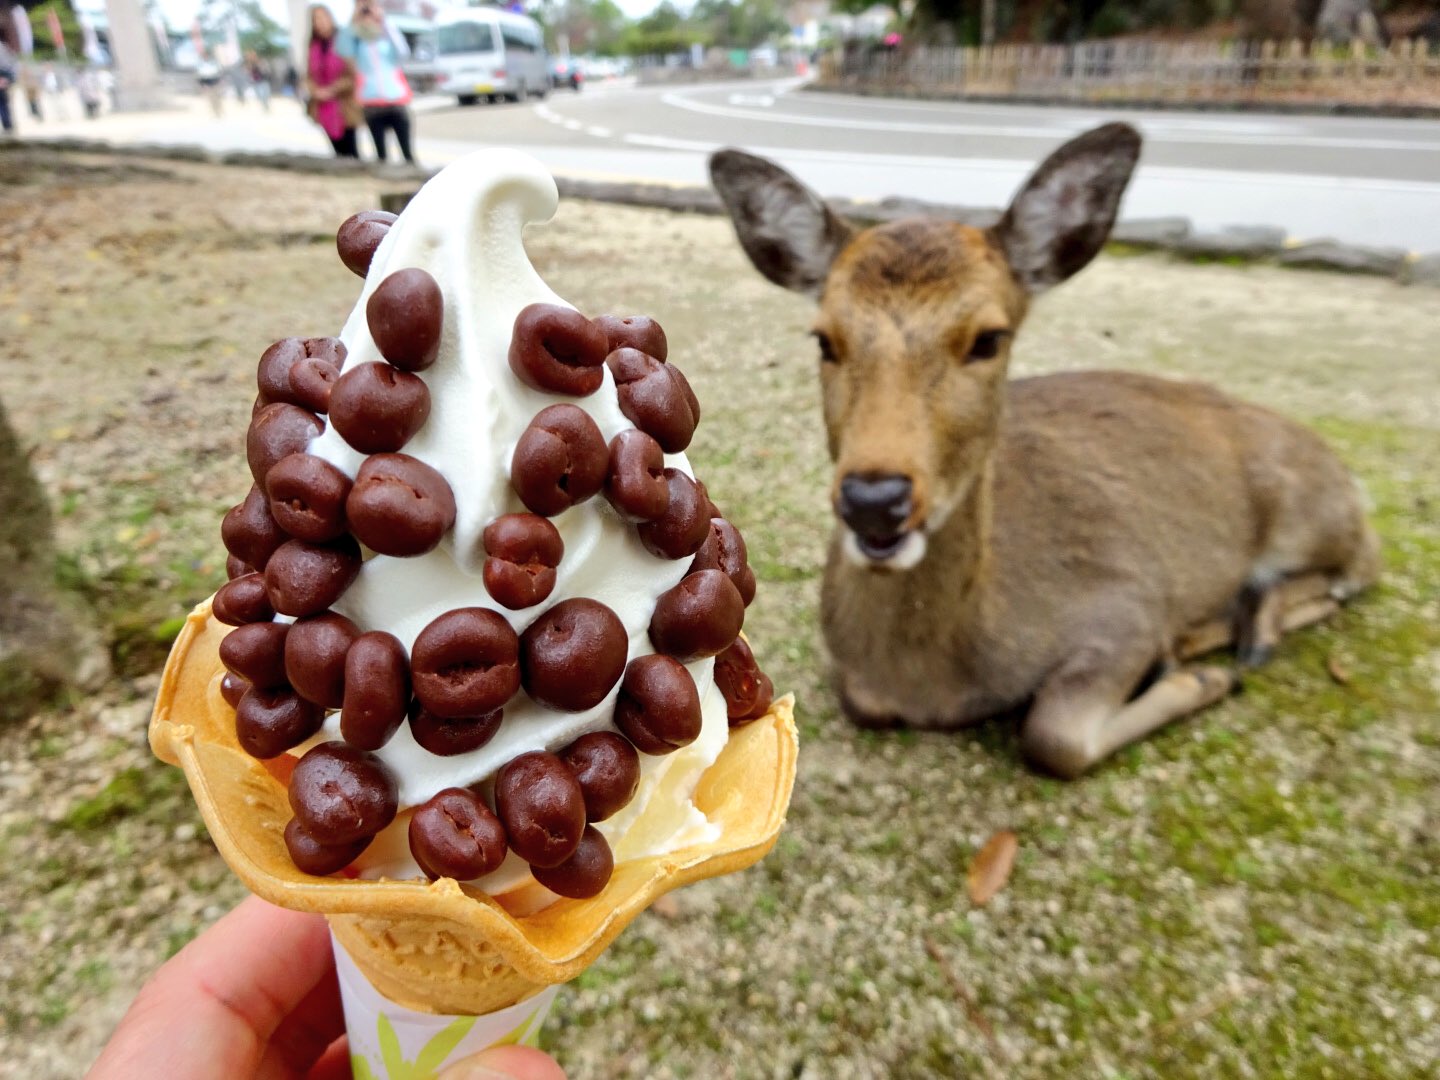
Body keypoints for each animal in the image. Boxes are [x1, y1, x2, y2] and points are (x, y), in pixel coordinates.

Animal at [708, 123, 1380, 778]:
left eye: (989, 338)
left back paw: (1236, 642)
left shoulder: (1127, 604)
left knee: (1358, 571)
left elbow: (1053, 738)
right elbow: (862, 701)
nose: (875, 500)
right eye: (825, 338)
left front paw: (1201, 679)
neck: (939, 679)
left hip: (1308, 515)